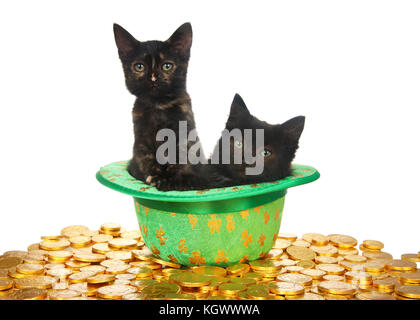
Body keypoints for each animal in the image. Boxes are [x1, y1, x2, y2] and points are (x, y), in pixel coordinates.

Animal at [113, 23, 205, 191]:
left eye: (167, 66)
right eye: (139, 67)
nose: (153, 78)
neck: (159, 105)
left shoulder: (183, 133)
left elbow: (179, 155)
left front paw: (173, 181)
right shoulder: (141, 138)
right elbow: (147, 157)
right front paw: (156, 177)